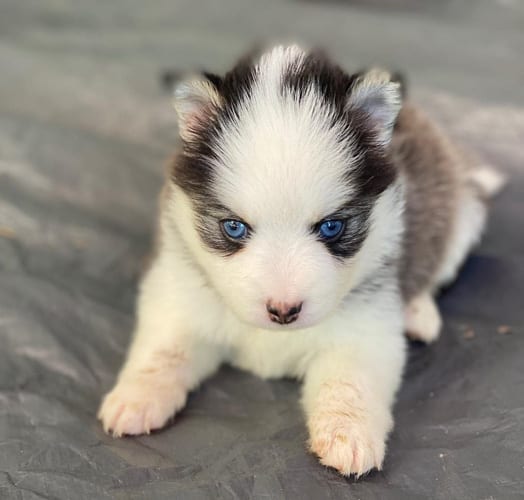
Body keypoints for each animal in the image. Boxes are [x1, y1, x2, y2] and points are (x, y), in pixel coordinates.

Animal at [98, 45, 504, 474]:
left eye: (331, 227)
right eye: (234, 227)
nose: (283, 311)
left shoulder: (366, 327)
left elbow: (350, 382)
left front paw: (349, 431)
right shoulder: (179, 295)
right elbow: (165, 350)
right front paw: (137, 395)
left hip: (462, 216)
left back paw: (419, 312)